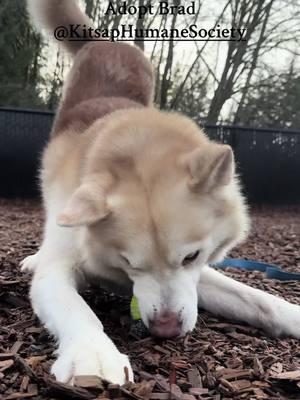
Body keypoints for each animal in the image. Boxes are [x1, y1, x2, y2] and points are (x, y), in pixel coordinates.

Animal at [23, 0, 300, 386]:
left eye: (191, 256)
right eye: (129, 262)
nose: (166, 330)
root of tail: (105, 42)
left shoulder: (198, 275)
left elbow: (255, 297)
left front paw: (292, 314)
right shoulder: (59, 267)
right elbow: (76, 309)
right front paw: (92, 354)